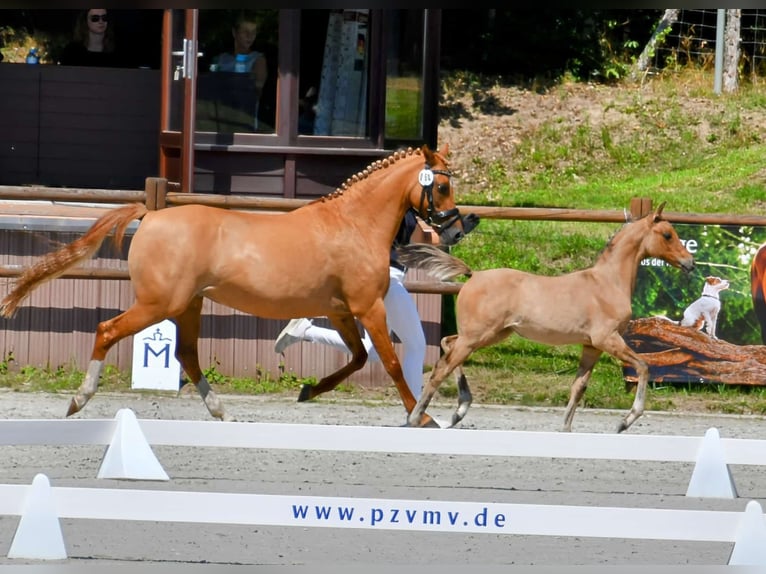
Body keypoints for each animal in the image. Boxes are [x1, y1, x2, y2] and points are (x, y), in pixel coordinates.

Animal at [0, 145, 465, 426]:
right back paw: (78, 400)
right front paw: (422, 417)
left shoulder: (341, 310)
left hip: (187, 305)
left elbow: (357, 358)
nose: (457, 231)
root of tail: (151, 215)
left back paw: (221, 411)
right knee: (107, 331)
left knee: (187, 354)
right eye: (441, 185)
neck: (353, 224)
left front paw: (308, 391)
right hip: (158, 304)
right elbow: (388, 361)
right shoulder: (367, 306)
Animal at [396, 202, 695, 433]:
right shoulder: (608, 339)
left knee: (447, 345)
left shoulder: (591, 346)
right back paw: (418, 417)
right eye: (667, 234)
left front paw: (565, 429)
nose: (690, 263)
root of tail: (474, 275)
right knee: (441, 368)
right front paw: (625, 421)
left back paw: (460, 409)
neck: (607, 283)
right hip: (477, 337)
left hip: (489, 334)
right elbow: (643, 367)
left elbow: (578, 387)